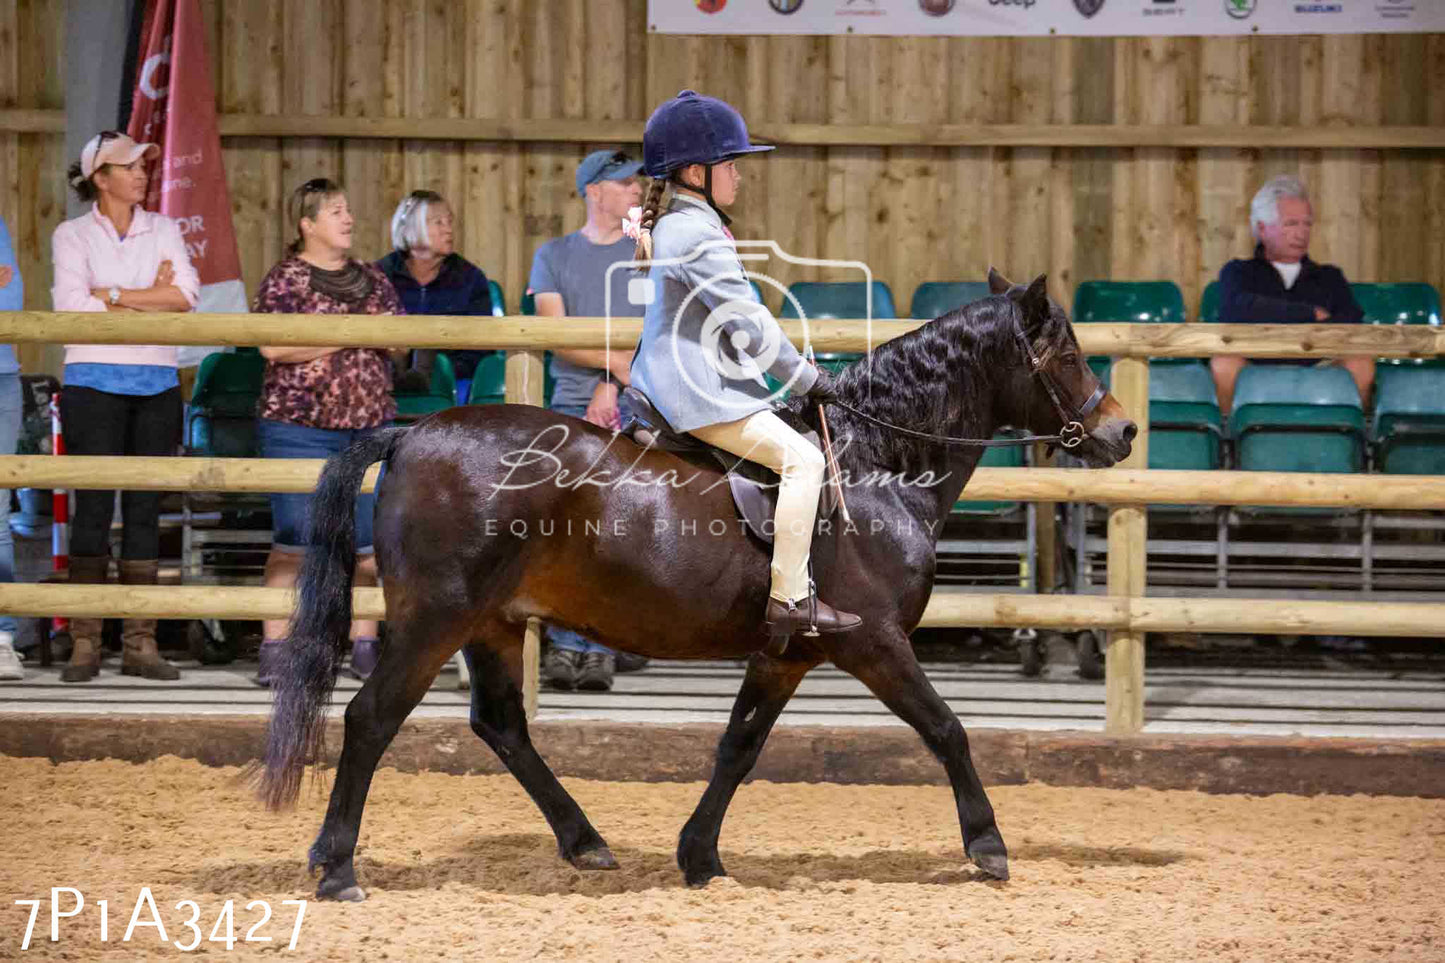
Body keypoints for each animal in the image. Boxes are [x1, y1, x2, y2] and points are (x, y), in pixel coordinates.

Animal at [262, 270, 1138, 902]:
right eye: (1065, 356)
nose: (1122, 429)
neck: (876, 463)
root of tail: (412, 431)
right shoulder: (872, 640)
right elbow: (947, 729)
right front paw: (987, 845)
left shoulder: (786, 651)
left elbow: (737, 747)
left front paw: (699, 856)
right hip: (434, 617)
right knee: (372, 717)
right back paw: (338, 867)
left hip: (492, 622)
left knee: (502, 725)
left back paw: (584, 841)